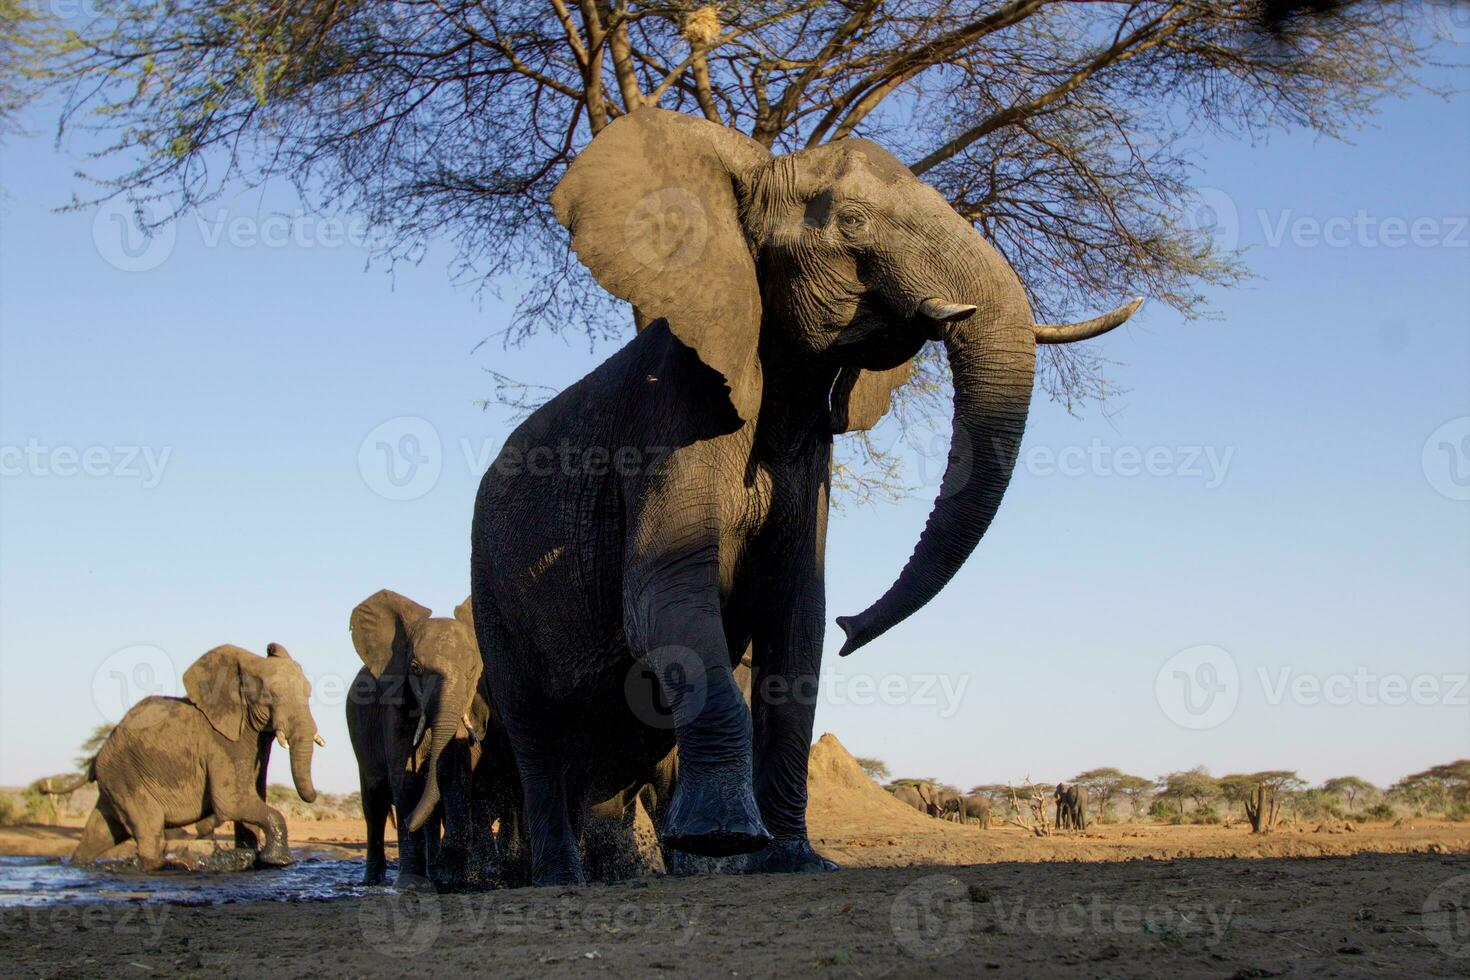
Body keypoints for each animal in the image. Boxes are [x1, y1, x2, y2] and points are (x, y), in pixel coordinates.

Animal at [54, 646, 321, 869]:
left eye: (309, 693)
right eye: (269, 696)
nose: (314, 796)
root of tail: (97, 756)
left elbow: (252, 799)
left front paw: (251, 859)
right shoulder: (221, 743)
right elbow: (232, 800)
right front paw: (279, 861)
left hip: (114, 781)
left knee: (99, 832)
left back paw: (80, 864)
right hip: (124, 776)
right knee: (149, 830)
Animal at [343, 590, 488, 887]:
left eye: (472, 670)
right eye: (415, 667)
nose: (409, 820)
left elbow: (456, 777)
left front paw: (456, 880)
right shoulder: (395, 709)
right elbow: (405, 781)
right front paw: (411, 883)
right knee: (374, 806)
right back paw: (373, 882)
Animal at [470, 107, 1134, 887]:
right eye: (850, 221)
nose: (857, 626)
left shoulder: (808, 454)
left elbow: (797, 619)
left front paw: (793, 860)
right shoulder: (669, 424)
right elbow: (662, 598)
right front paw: (725, 839)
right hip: (490, 590)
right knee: (536, 738)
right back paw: (563, 879)